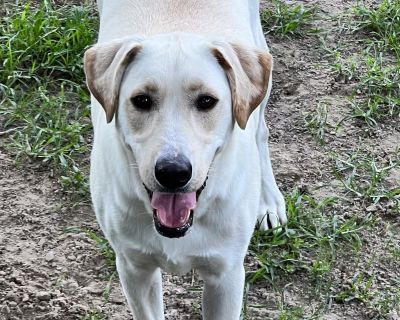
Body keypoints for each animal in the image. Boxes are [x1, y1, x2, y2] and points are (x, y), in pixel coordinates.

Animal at [83, 0, 286, 318]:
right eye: (141, 100)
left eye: (207, 101)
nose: (173, 172)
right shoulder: (134, 268)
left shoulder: (226, 276)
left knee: (260, 130)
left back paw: (269, 199)